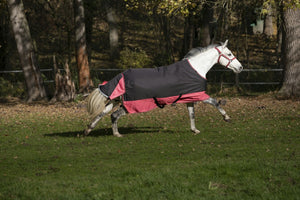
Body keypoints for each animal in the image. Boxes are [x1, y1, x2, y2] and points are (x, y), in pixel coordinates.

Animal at [83, 39, 243, 137]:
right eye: (229, 53)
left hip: (116, 100)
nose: (240, 67)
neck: (196, 69)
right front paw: (227, 118)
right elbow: (215, 102)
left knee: (103, 112)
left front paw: (194, 130)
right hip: (131, 104)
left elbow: (192, 114)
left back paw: (88, 129)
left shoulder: (190, 97)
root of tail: (121, 76)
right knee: (114, 115)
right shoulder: (200, 95)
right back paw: (116, 134)